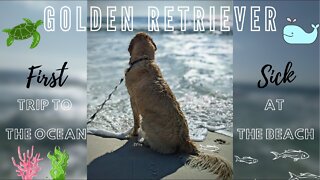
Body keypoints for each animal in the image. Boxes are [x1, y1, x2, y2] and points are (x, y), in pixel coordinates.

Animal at [125, 32, 232, 179]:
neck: (144, 60)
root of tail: (185, 140)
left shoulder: (132, 100)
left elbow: (135, 121)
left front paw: (133, 133)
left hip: (146, 122)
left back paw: (145, 142)